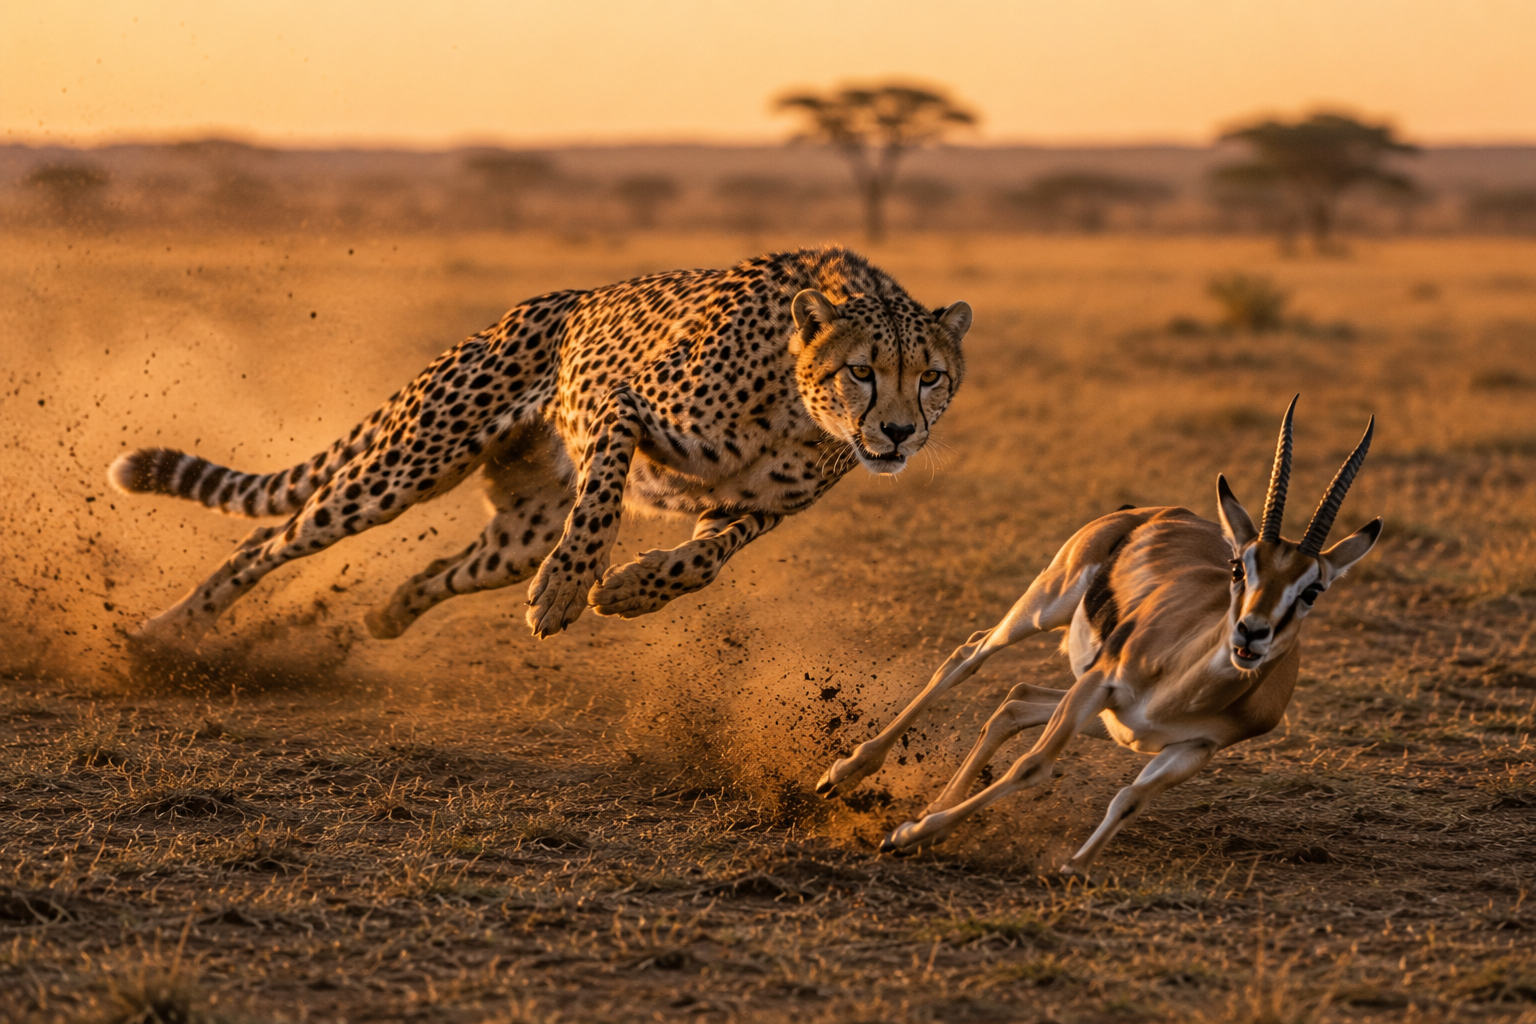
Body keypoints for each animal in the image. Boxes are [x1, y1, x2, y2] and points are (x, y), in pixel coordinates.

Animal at [108, 245, 971, 644]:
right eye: (861, 371)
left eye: (931, 376)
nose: (898, 433)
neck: (797, 405)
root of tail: (542, 301)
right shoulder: (610, 396)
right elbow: (601, 504)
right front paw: (568, 587)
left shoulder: (756, 508)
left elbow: (702, 562)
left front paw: (631, 588)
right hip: (406, 465)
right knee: (271, 540)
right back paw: (164, 634)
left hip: (515, 532)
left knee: (442, 567)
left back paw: (387, 615)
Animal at [814, 397, 1381, 875]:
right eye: (1240, 567)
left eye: (1313, 590)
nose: (1252, 633)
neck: (1182, 684)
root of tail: (1153, 512)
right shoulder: (1100, 684)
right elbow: (1033, 764)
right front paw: (908, 836)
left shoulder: (1193, 748)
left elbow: (1130, 798)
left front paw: (1072, 868)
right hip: (1047, 608)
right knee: (968, 655)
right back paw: (845, 775)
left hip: (1105, 721)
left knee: (1016, 701)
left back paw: (928, 807)